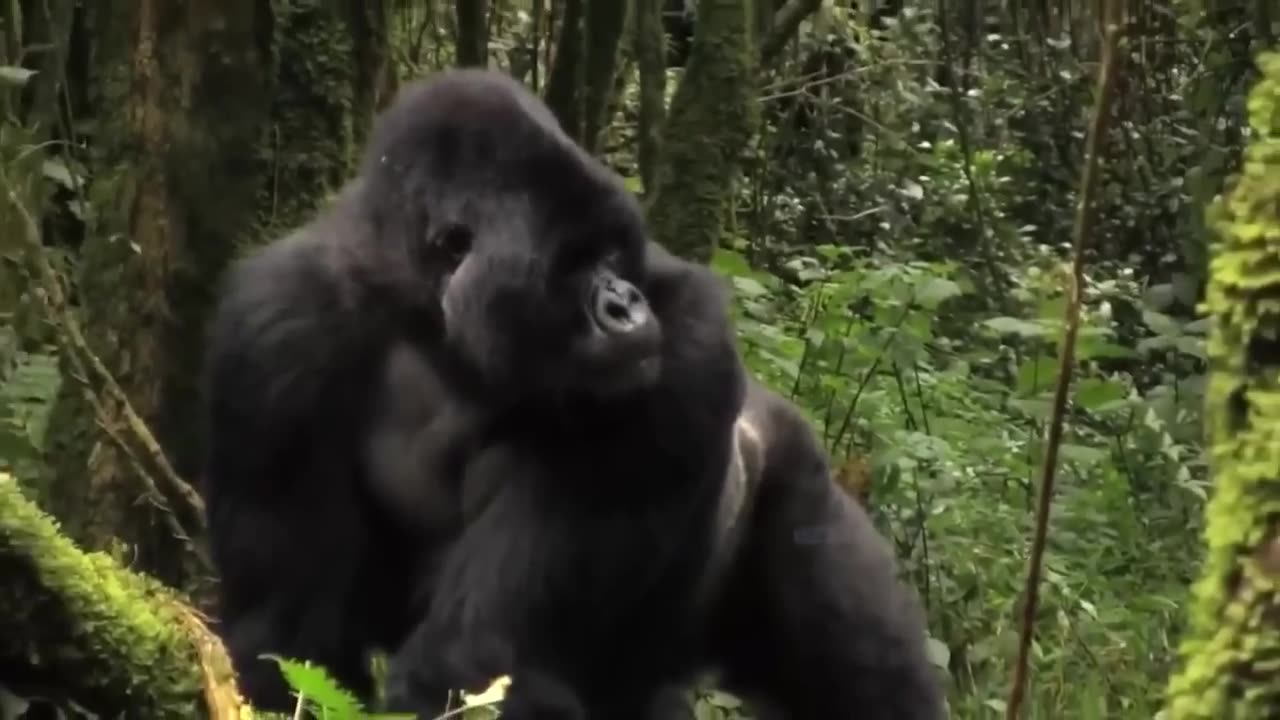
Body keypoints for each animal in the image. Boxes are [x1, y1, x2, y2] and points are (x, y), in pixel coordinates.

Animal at [199, 68, 942, 717]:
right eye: (576, 263)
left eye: (612, 256)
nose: (628, 305)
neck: (429, 320)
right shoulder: (276, 337)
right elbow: (292, 642)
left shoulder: (688, 348)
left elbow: (475, 658)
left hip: (796, 470)